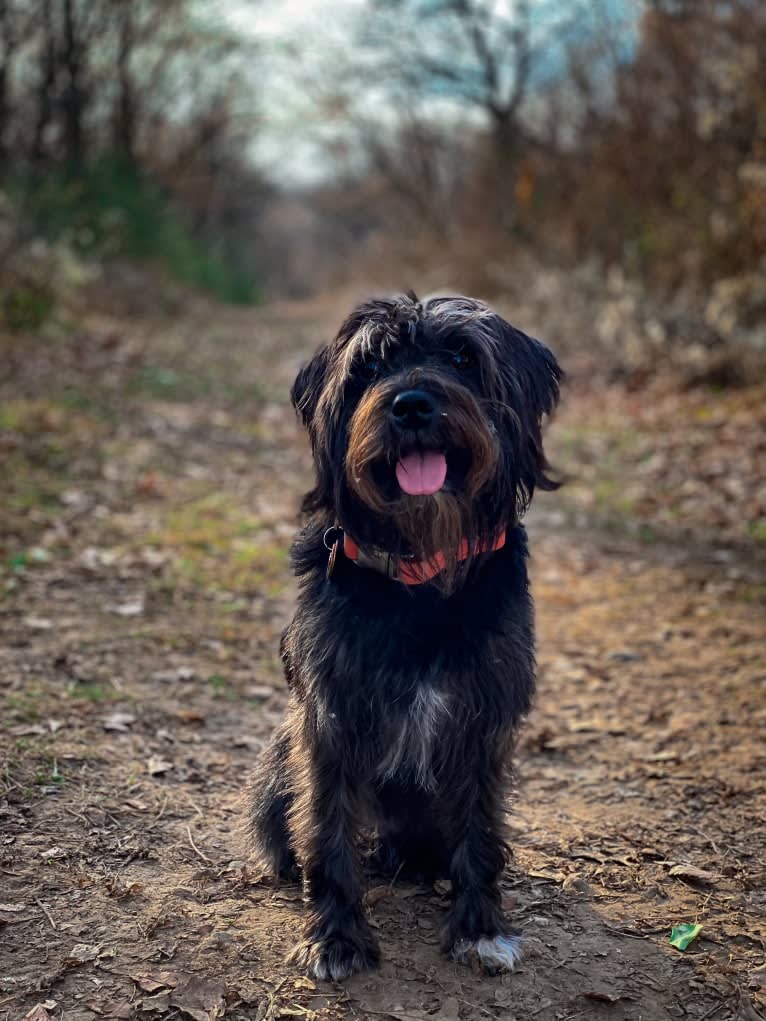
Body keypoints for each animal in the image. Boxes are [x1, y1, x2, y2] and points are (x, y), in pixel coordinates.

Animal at [252, 294, 563, 980]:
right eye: (370, 365)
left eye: (463, 358)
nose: (412, 404)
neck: (423, 569)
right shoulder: (331, 719)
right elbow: (328, 831)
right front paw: (336, 936)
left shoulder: (483, 722)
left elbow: (481, 832)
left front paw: (479, 928)